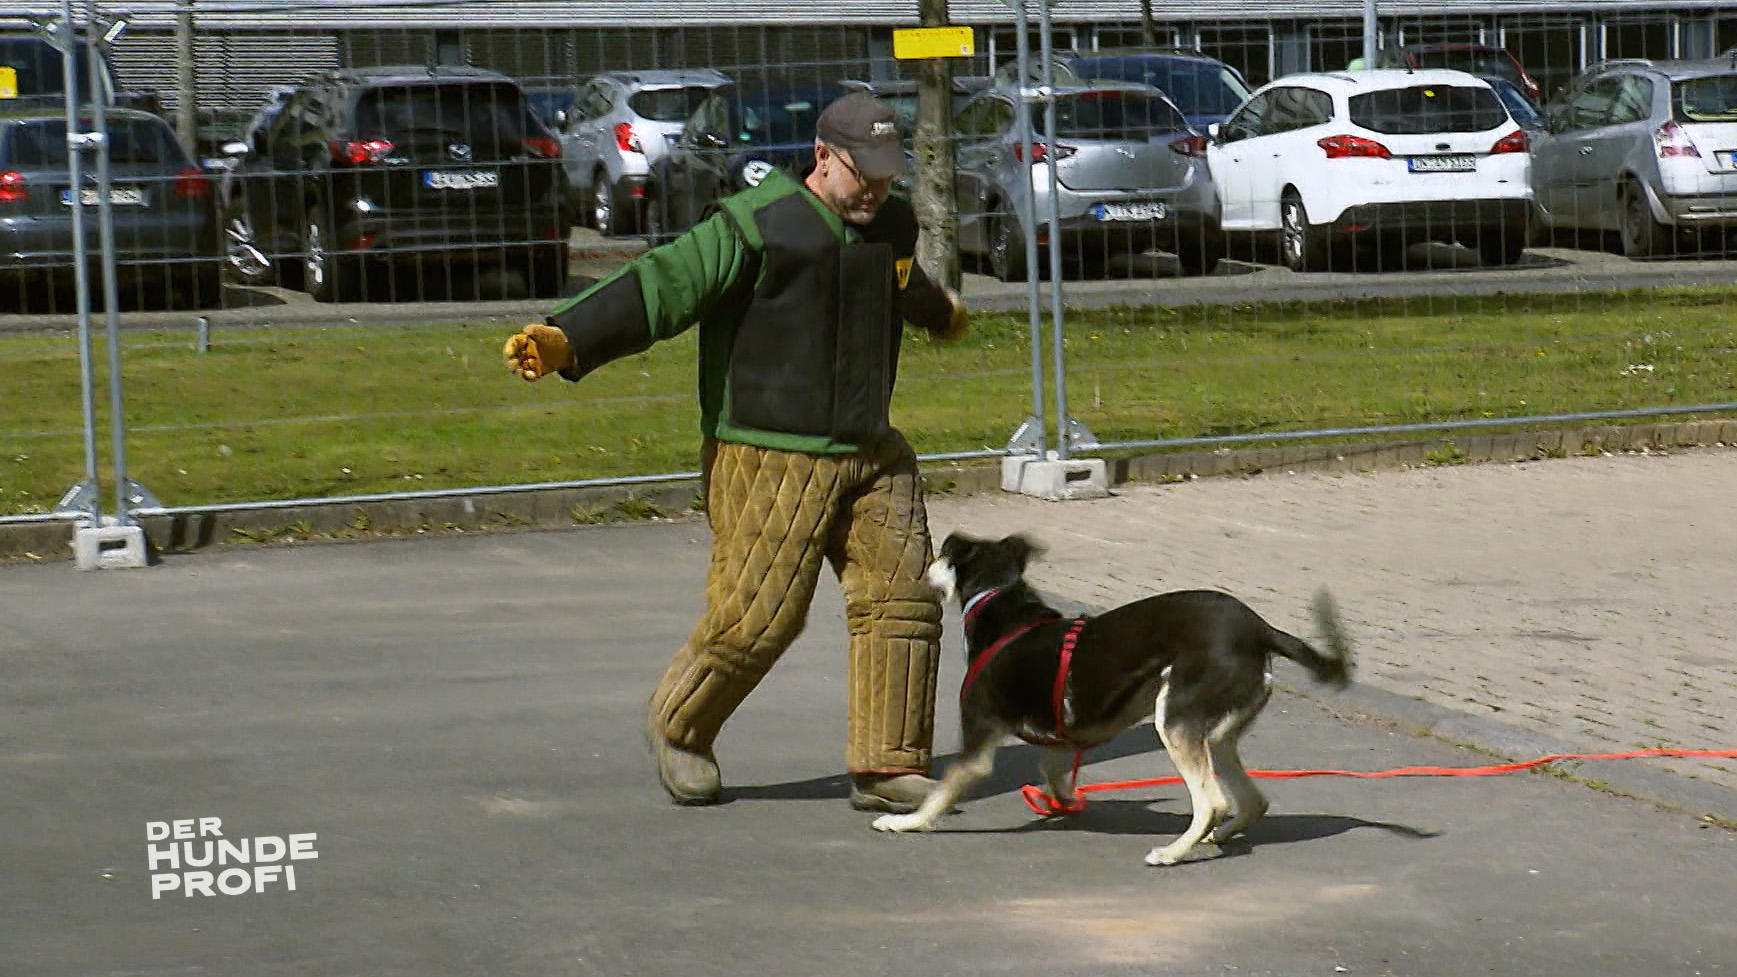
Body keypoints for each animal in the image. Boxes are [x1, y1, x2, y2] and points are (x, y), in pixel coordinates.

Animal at [875, 528, 1347, 862]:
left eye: (943, 554)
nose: (923, 568)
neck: (1002, 605)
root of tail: (1260, 629)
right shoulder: (1061, 740)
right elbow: (1052, 770)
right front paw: (1064, 804)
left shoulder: (978, 737)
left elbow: (943, 790)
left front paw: (908, 821)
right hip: (1216, 733)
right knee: (1253, 801)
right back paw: (1221, 836)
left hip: (1176, 720)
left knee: (1211, 802)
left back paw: (1174, 852)